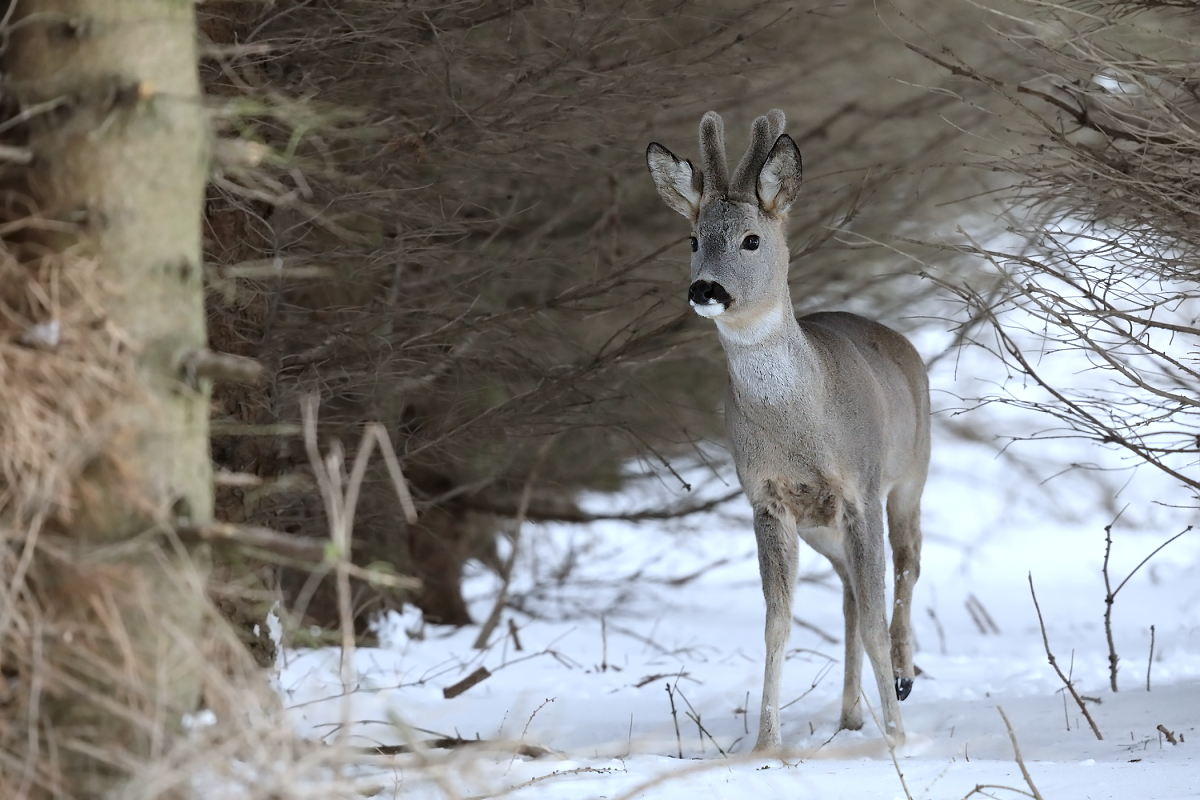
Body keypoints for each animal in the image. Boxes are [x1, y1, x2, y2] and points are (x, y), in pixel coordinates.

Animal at [648, 107, 926, 753]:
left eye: (752, 239)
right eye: (693, 240)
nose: (706, 289)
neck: (801, 423)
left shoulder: (859, 489)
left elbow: (875, 618)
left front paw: (897, 738)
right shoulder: (768, 498)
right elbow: (778, 622)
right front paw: (765, 744)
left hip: (910, 476)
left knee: (906, 566)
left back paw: (902, 678)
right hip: (823, 527)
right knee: (849, 590)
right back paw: (850, 716)